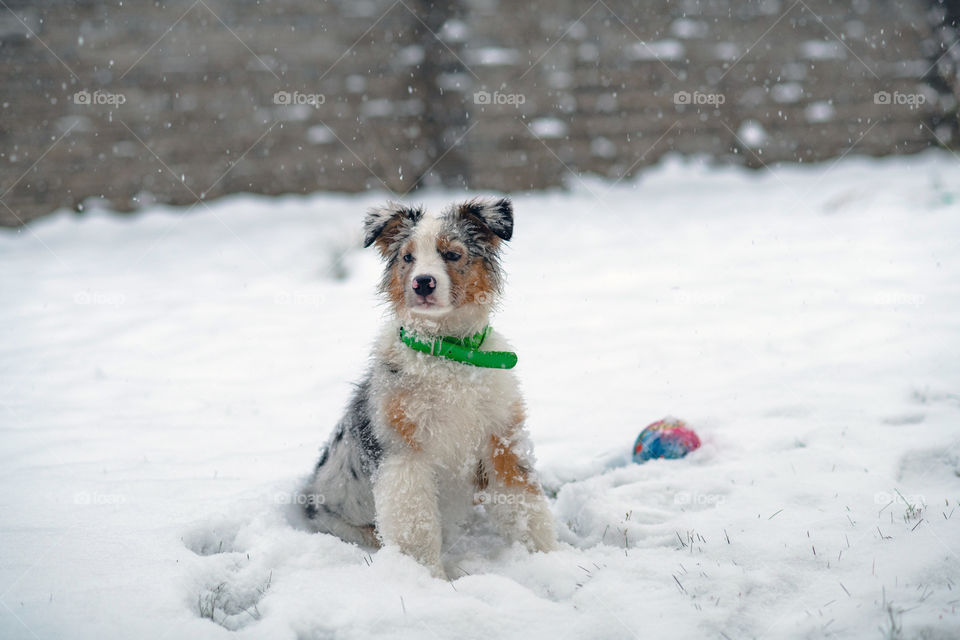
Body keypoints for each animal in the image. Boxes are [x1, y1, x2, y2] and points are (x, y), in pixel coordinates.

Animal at [298, 198, 556, 576]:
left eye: (452, 254)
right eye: (408, 257)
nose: (422, 283)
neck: (448, 354)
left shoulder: (502, 442)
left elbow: (526, 508)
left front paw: (552, 560)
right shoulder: (404, 457)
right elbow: (416, 528)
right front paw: (428, 579)